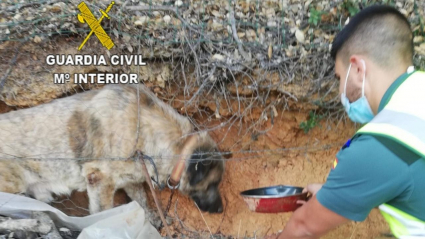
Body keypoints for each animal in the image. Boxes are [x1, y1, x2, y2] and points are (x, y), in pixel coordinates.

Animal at [0, 83, 225, 225]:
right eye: (212, 184)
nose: (222, 210)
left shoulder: (132, 180)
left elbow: (143, 201)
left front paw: (152, 219)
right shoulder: (99, 180)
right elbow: (103, 212)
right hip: (12, 186)